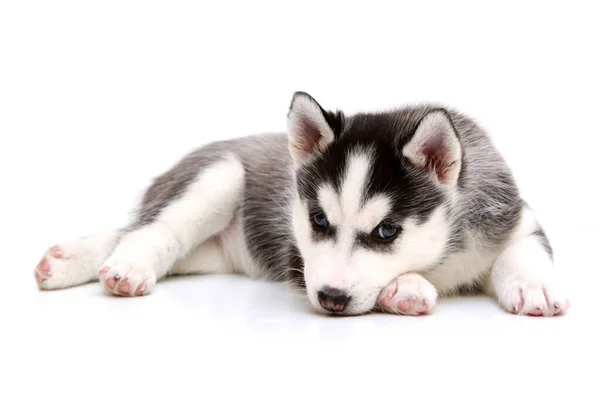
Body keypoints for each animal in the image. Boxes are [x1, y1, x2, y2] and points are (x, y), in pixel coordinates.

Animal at [35, 92, 568, 318]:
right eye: (317, 220)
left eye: (387, 231)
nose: (330, 298)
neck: (448, 251)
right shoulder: (300, 258)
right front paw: (408, 287)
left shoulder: (512, 217)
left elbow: (524, 250)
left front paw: (533, 286)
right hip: (220, 175)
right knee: (151, 229)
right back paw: (125, 267)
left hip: (213, 253)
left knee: (131, 229)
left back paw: (65, 260)